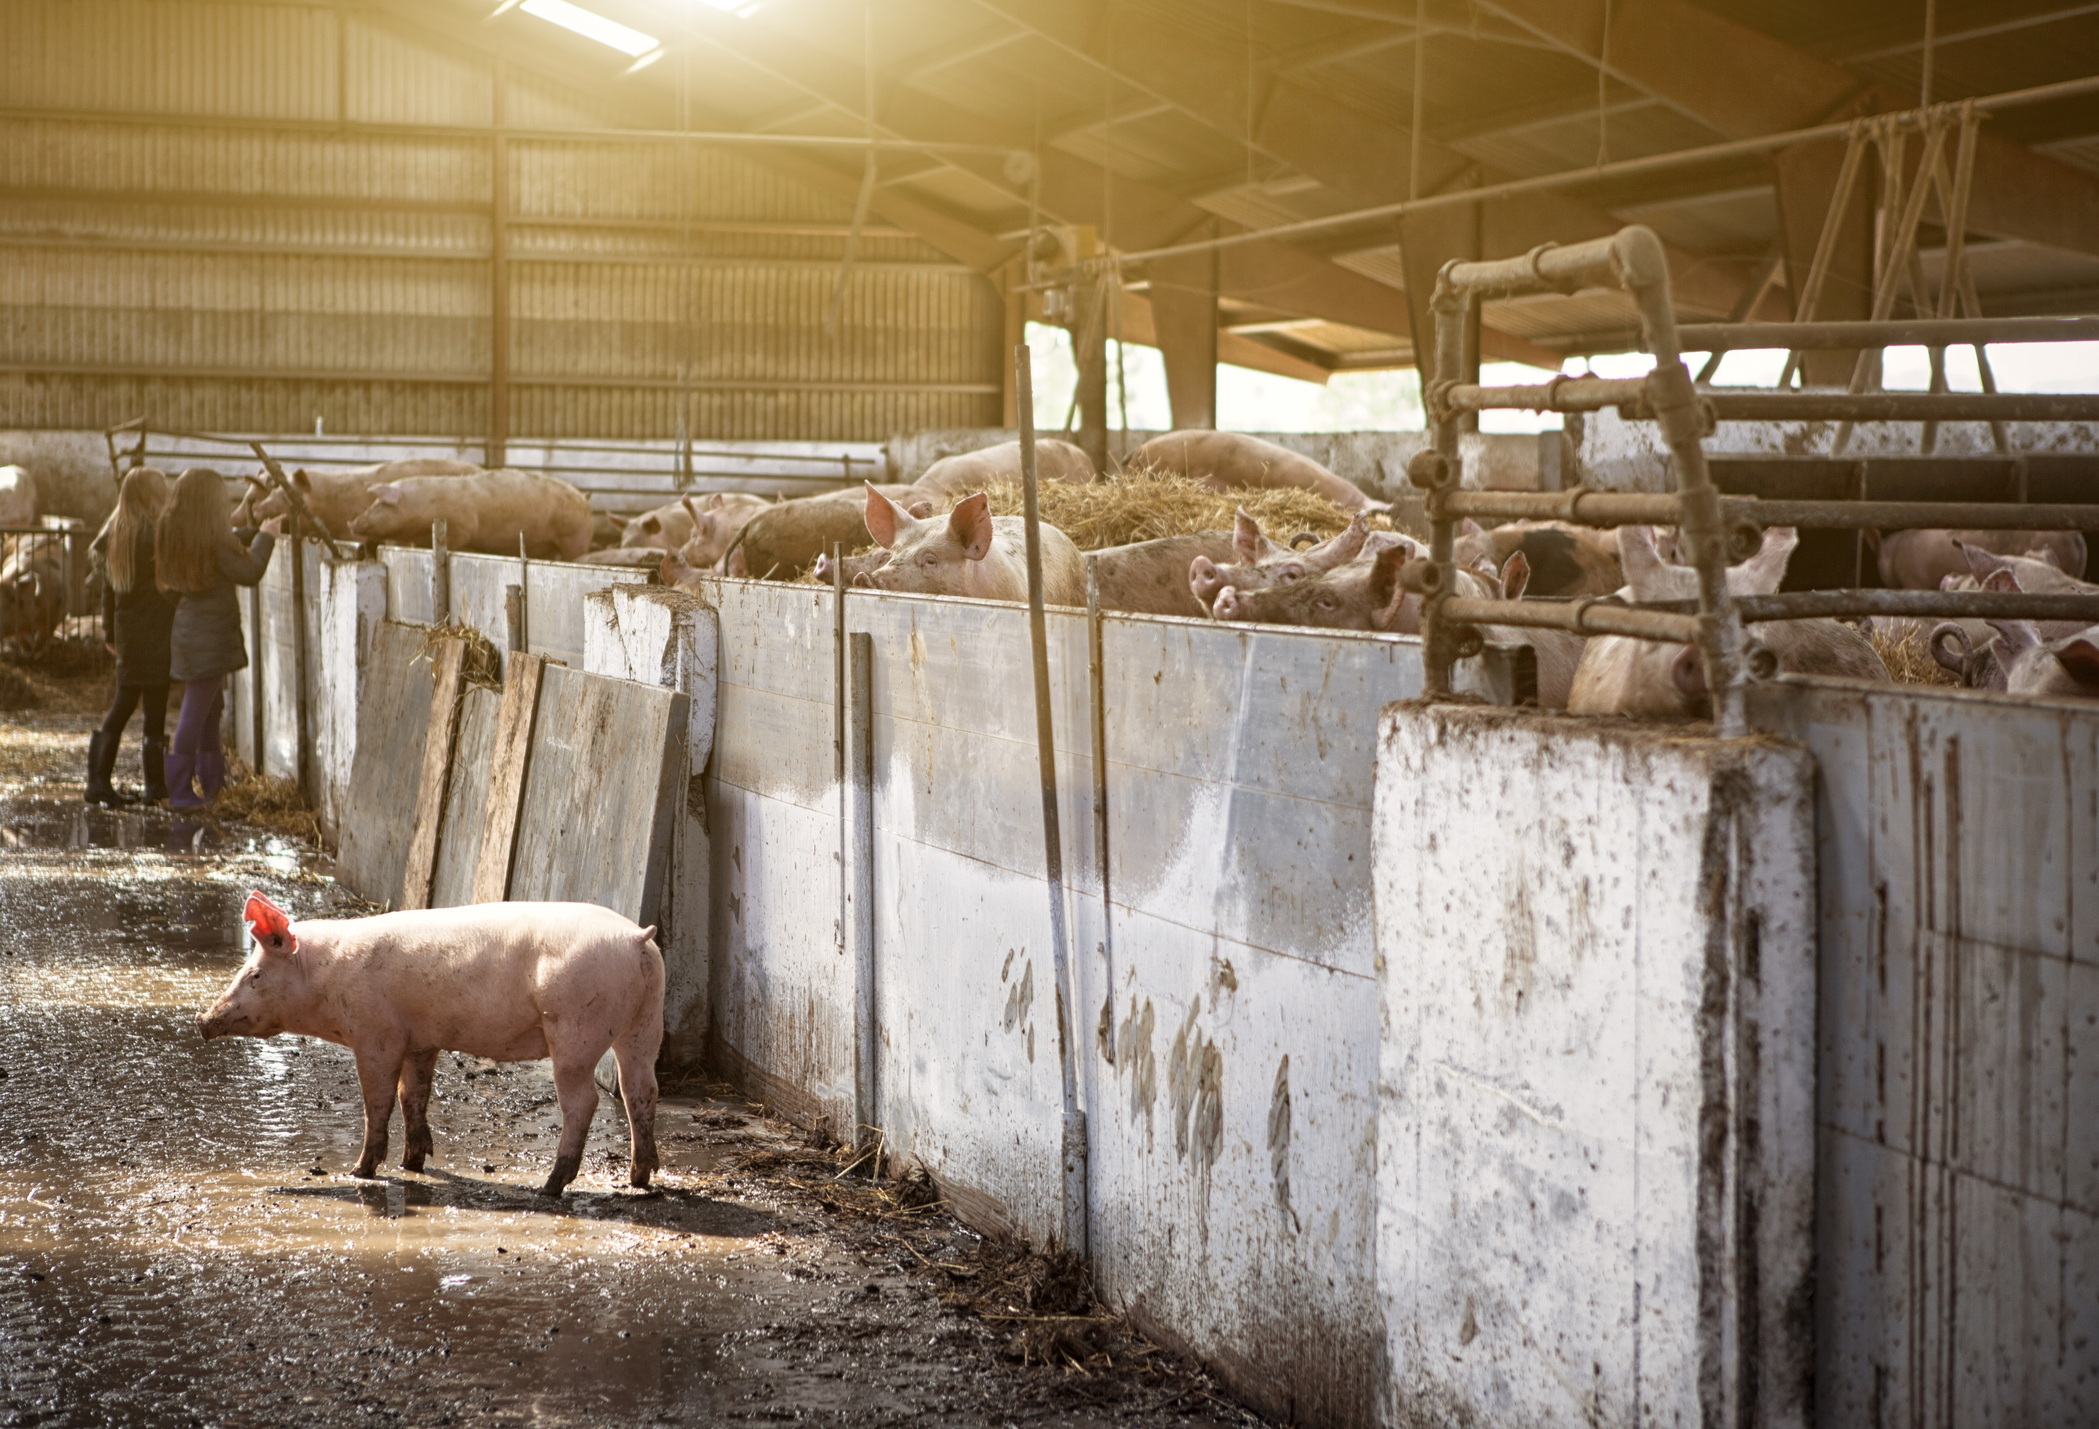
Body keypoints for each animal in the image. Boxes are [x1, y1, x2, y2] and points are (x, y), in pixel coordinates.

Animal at [198, 893, 662, 1196]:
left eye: (255, 974)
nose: (202, 1021)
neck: (324, 978)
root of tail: (636, 939)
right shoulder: (420, 1040)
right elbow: (414, 1094)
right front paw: (413, 1163)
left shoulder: (376, 1034)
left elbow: (378, 1099)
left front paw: (360, 1172)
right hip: (643, 1024)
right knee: (640, 1090)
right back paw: (639, 1178)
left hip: (576, 1028)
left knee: (584, 1102)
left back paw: (550, 1187)